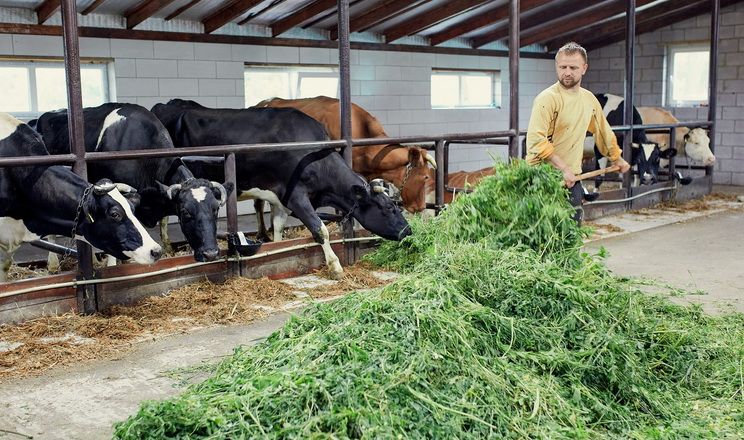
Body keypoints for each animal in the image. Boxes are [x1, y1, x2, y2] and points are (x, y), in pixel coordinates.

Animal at [148, 99, 410, 278]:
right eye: (388, 208)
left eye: (397, 206)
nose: (409, 231)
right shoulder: (296, 196)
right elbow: (320, 229)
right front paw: (335, 266)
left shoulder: (281, 198)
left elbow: (279, 230)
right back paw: (167, 245)